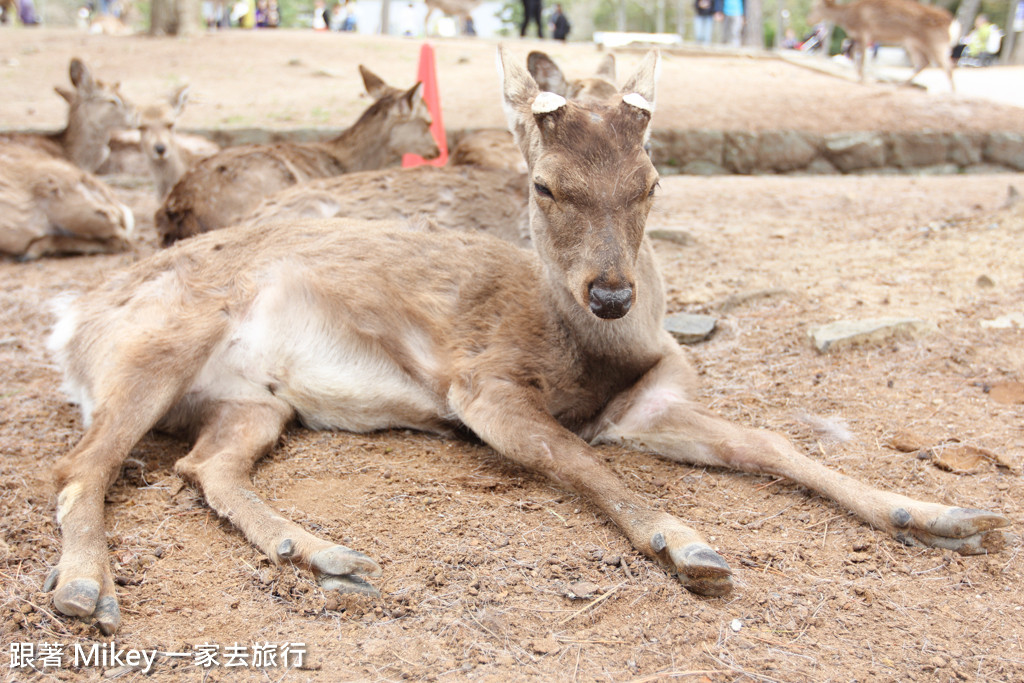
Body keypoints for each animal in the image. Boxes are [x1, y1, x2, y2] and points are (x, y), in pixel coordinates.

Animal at [806, 0, 958, 90]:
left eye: (814, 7)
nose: (810, 20)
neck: (847, 20)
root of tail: (952, 22)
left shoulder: (864, 32)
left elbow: (861, 57)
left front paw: (862, 79)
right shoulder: (860, 37)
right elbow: (856, 55)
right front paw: (860, 77)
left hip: (936, 42)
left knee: (948, 65)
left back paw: (951, 93)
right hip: (913, 43)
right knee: (924, 62)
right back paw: (900, 84)